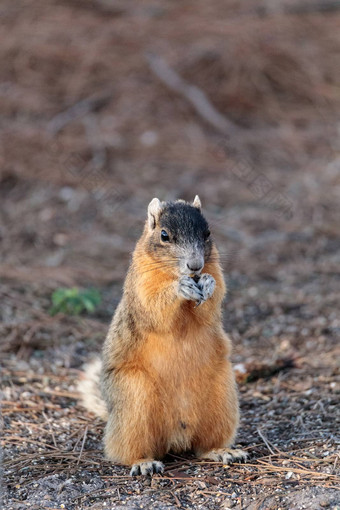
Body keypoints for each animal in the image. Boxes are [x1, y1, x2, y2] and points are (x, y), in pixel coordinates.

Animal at [78, 197, 246, 476]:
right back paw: (144, 463)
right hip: (134, 401)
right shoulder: (142, 284)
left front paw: (208, 283)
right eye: (164, 235)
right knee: (126, 449)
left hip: (223, 399)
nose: (195, 266)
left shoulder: (215, 271)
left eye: (208, 233)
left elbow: (212, 304)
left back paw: (223, 451)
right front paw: (180, 288)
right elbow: (156, 308)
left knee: (203, 446)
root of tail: (176, 437)